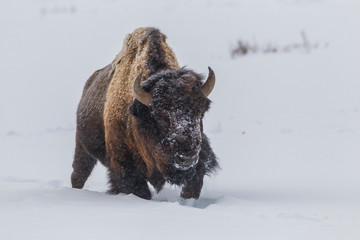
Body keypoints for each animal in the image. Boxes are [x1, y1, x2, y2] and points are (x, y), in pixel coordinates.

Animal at [70, 27, 218, 200]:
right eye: (159, 117)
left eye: (200, 112)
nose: (187, 158)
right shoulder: (125, 165)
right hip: (82, 147)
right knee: (79, 173)